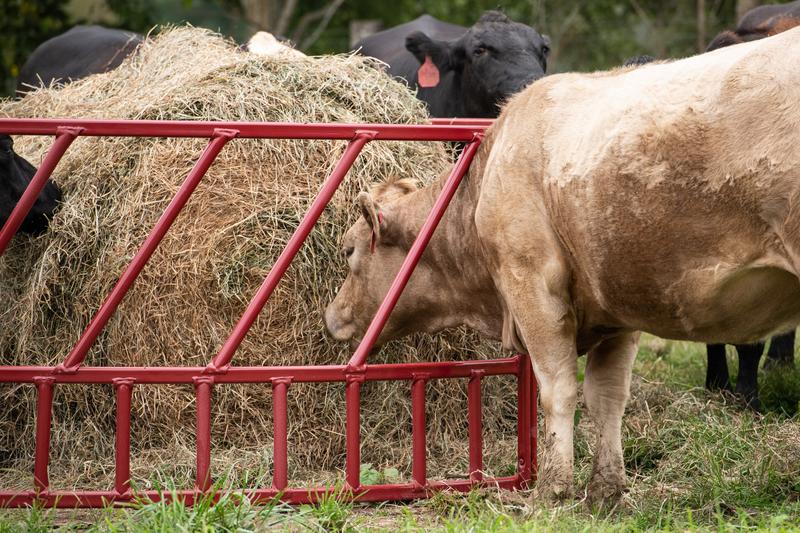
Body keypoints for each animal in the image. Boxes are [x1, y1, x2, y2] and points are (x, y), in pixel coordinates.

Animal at [325, 29, 800, 503]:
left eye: (348, 251)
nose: (331, 315)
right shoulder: (617, 304)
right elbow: (608, 396)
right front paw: (607, 491)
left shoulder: (532, 282)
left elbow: (558, 389)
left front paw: (552, 489)